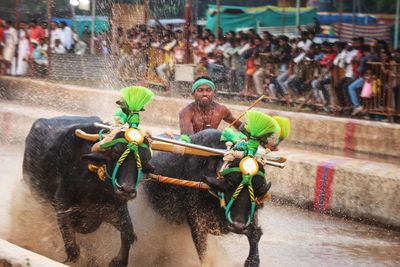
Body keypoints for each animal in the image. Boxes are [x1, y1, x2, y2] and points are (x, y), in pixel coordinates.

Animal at [22, 116, 152, 266]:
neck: (96, 187)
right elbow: (73, 249)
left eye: (145, 159)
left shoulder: (115, 208)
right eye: (115, 152)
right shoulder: (63, 207)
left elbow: (128, 232)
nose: (126, 189)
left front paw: (118, 261)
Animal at [145, 129, 272, 266]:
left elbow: (255, 233)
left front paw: (252, 261)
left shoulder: (248, 217)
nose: (238, 226)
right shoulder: (197, 221)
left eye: (256, 190)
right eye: (230, 184)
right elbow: (203, 250)